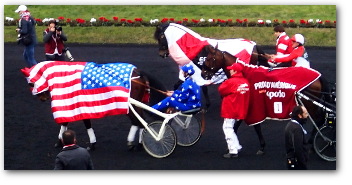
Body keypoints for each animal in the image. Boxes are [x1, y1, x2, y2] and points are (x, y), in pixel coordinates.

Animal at [20, 61, 166, 152]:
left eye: (31, 83)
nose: (42, 98)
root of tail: (138, 72)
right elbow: (65, 122)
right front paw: (60, 141)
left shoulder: (79, 104)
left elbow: (85, 124)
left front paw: (91, 144)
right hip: (136, 105)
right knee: (140, 120)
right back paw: (139, 143)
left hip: (129, 105)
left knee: (138, 121)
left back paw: (134, 142)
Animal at [202, 45, 334, 155]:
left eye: (209, 58)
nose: (203, 74)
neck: (245, 74)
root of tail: (319, 76)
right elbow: (244, 125)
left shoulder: (252, 105)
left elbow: (252, 126)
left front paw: (259, 146)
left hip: (309, 104)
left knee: (318, 120)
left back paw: (314, 144)